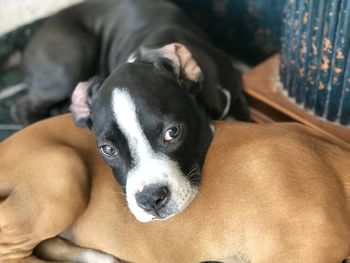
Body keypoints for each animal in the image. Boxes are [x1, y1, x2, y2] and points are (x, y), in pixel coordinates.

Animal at [14, 0, 252, 223]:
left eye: (173, 132)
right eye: (108, 149)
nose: (151, 198)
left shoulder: (235, 96)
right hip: (70, 62)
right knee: (22, 106)